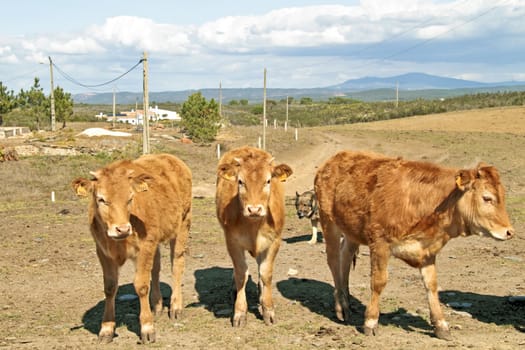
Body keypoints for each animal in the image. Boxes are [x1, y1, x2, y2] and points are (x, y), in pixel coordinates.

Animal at [71, 154, 190, 344]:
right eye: (101, 199)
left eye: (130, 198)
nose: (123, 229)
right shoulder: (103, 252)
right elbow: (110, 287)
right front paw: (106, 329)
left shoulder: (145, 247)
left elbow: (141, 286)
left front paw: (147, 328)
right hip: (155, 241)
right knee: (155, 268)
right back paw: (157, 306)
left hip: (183, 223)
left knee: (177, 264)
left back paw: (176, 306)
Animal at [214, 146, 294, 326]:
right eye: (240, 181)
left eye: (268, 181)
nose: (254, 209)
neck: (253, 225)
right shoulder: (232, 242)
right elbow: (241, 274)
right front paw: (239, 313)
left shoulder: (274, 241)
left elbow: (266, 273)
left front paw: (268, 309)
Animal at [314, 150, 512, 340]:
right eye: (487, 198)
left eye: (503, 196)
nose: (509, 231)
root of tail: (333, 160)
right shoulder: (380, 244)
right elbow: (378, 282)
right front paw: (370, 322)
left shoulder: (427, 251)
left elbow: (431, 285)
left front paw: (441, 325)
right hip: (328, 222)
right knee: (333, 260)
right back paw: (340, 306)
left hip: (351, 231)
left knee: (345, 257)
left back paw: (347, 302)